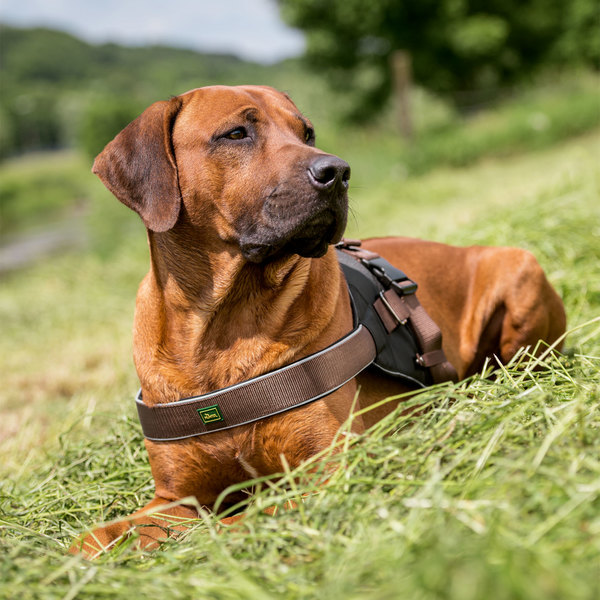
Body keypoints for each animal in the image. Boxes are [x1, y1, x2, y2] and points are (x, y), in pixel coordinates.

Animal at [71, 84, 568, 556]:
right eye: (236, 134)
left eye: (306, 133)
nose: (338, 172)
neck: (224, 327)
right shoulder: (175, 497)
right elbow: (97, 537)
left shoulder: (328, 471)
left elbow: (234, 522)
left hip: (519, 270)